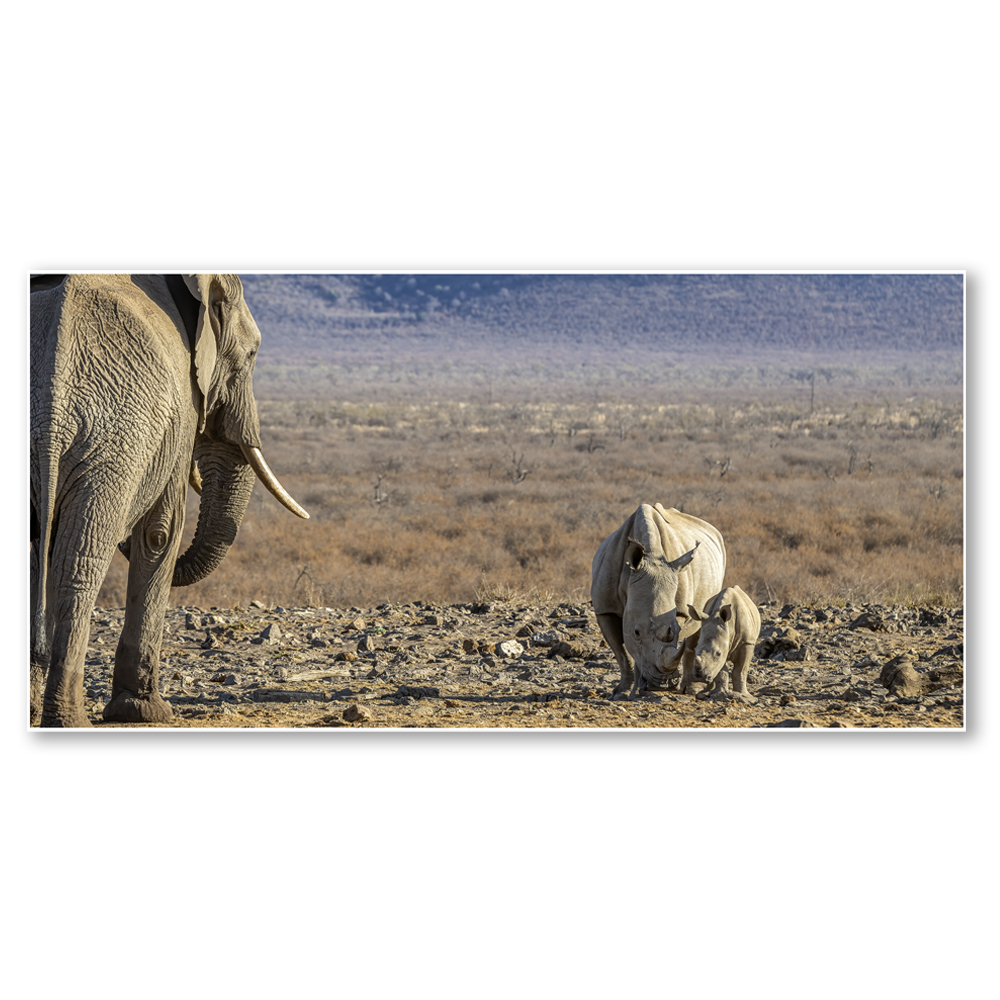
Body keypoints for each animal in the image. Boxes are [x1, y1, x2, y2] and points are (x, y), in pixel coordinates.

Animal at [29, 274, 309, 727]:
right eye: (251, 353)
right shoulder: (178, 411)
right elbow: (161, 532)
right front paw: (145, 711)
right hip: (115, 441)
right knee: (79, 560)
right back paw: (68, 720)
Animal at [591, 503, 726, 698]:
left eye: (676, 629)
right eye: (636, 632)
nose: (663, 685)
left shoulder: (679, 610)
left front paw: (638, 691)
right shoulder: (604, 608)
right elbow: (622, 652)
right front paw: (622, 693)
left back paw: (689, 690)